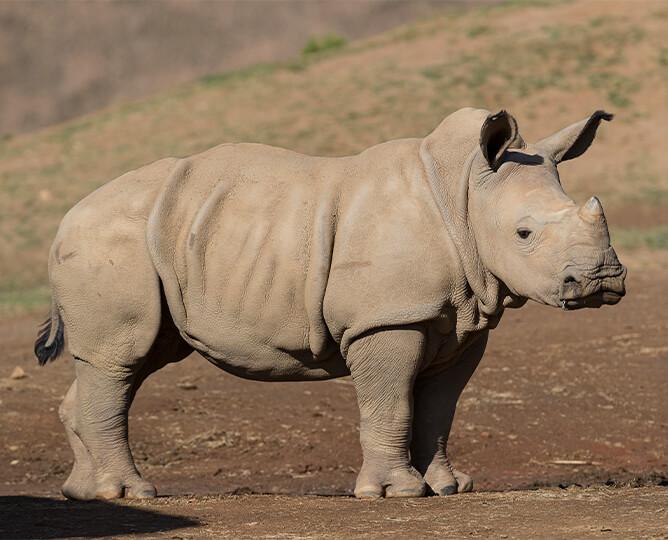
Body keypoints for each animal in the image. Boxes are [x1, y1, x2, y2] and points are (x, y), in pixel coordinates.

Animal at [35, 107, 626, 500]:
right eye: (524, 233)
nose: (602, 281)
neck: (463, 195)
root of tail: (67, 216)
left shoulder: (464, 321)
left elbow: (440, 406)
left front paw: (450, 487)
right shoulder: (385, 319)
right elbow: (391, 401)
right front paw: (395, 494)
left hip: (154, 246)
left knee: (130, 360)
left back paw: (85, 494)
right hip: (108, 242)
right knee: (121, 359)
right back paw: (129, 494)